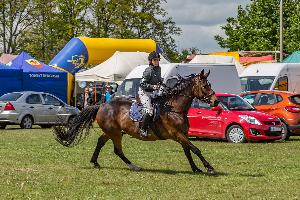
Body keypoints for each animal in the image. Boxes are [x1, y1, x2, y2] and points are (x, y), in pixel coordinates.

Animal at [52, 69, 219, 174]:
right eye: (205, 85)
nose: (215, 101)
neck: (175, 108)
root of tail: (102, 104)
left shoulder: (182, 135)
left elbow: (188, 151)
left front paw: (196, 169)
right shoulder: (177, 134)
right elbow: (195, 149)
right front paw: (209, 167)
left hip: (113, 131)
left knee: (101, 141)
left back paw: (95, 162)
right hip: (115, 133)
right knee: (117, 150)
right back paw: (134, 166)